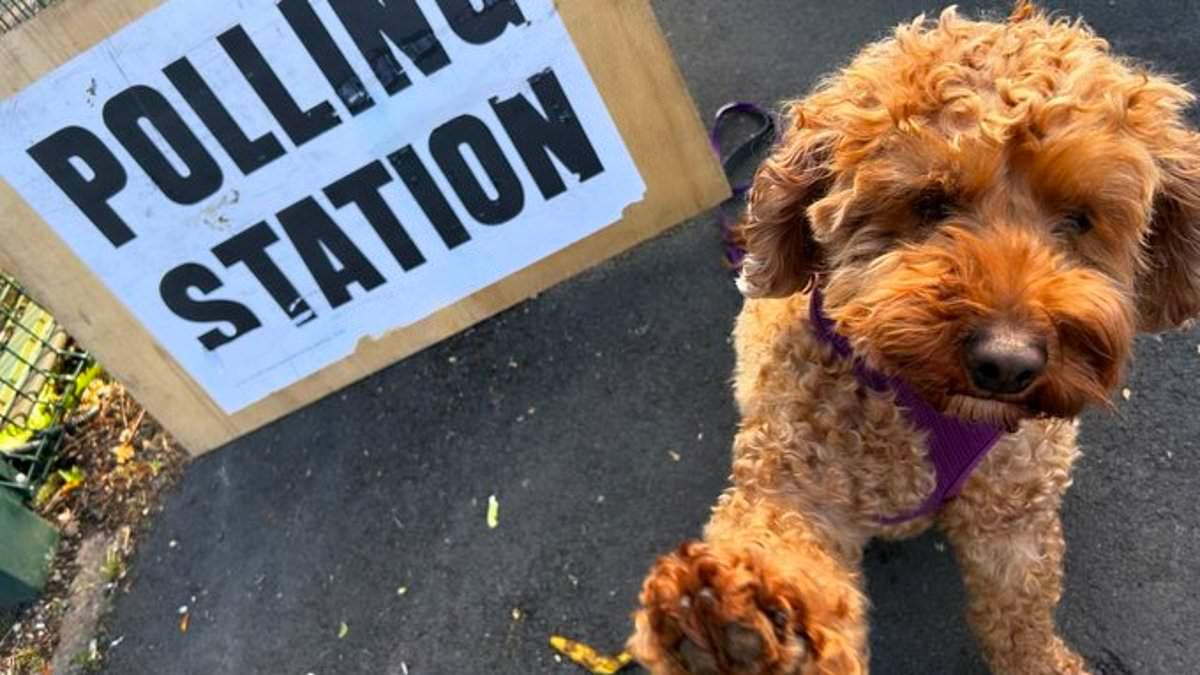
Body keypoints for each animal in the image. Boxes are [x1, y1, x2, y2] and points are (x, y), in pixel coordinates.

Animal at [628, 5, 1200, 672]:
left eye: (1079, 218)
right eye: (930, 203)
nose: (1007, 362)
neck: (924, 403)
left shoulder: (1014, 517)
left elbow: (1020, 619)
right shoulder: (799, 483)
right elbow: (780, 543)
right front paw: (735, 626)